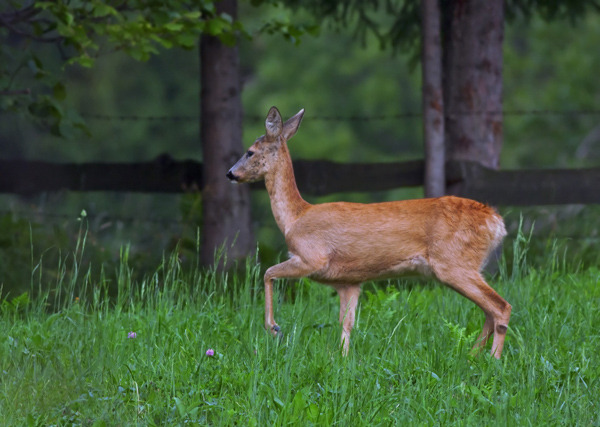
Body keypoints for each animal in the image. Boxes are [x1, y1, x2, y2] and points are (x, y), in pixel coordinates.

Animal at [225, 106, 510, 358]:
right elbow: (347, 323)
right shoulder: (349, 281)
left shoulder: (311, 257)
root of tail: (496, 222)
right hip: (468, 265)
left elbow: (268, 273)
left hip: (454, 263)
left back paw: (493, 360)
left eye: (249, 152)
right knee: (489, 311)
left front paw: (273, 328)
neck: (295, 218)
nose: (230, 173)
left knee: (500, 307)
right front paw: (343, 359)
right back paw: (472, 356)